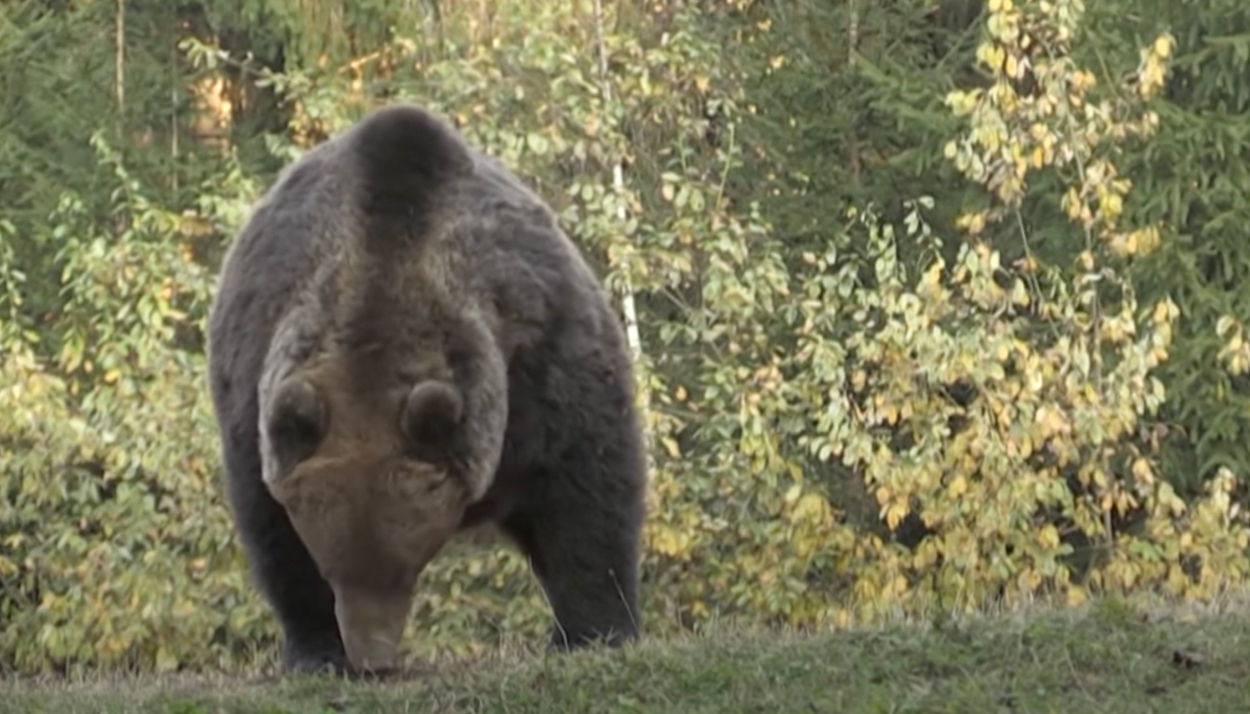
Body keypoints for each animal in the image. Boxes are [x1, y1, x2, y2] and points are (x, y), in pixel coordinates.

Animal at [207, 103, 645, 675]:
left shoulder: (541, 359)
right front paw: (317, 650)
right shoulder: (256, 392)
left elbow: (586, 491)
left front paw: (595, 630)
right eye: (333, 569)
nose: (372, 658)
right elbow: (275, 537)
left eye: (403, 570)